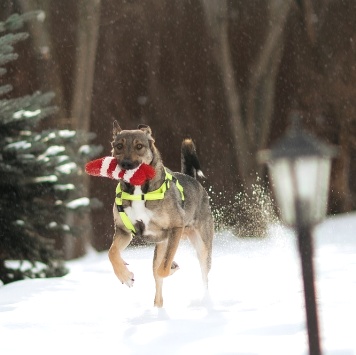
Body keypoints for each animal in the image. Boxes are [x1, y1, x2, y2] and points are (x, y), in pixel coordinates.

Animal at [108, 121, 214, 308]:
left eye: (139, 146)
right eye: (119, 146)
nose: (126, 165)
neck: (139, 191)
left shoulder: (176, 228)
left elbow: (163, 269)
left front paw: (171, 267)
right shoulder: (123, 231)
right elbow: (112, 253)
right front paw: (125, 276)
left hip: (201, 245)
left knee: (202, 276)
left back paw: (204, 299)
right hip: (162, 246)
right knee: (158, 284)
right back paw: (158, 308)